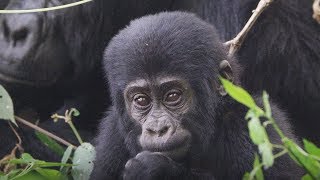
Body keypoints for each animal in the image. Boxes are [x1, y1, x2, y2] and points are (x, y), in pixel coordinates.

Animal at [90, 11, 302, 180]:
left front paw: (156, 169)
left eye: (172, 96)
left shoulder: (257, 127)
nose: (158, 129)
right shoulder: (111, 135)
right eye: (141, 100)